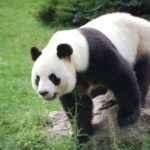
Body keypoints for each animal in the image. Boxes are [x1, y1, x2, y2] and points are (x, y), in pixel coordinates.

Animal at [30, 12, 150, 143]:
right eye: (37, 78)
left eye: (53, 77)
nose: (43, 92)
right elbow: (77, 104)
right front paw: (82, 134)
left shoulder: (96, 54)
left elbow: (121, 77)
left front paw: (128, 117)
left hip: (141, 43)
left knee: (141, 71)